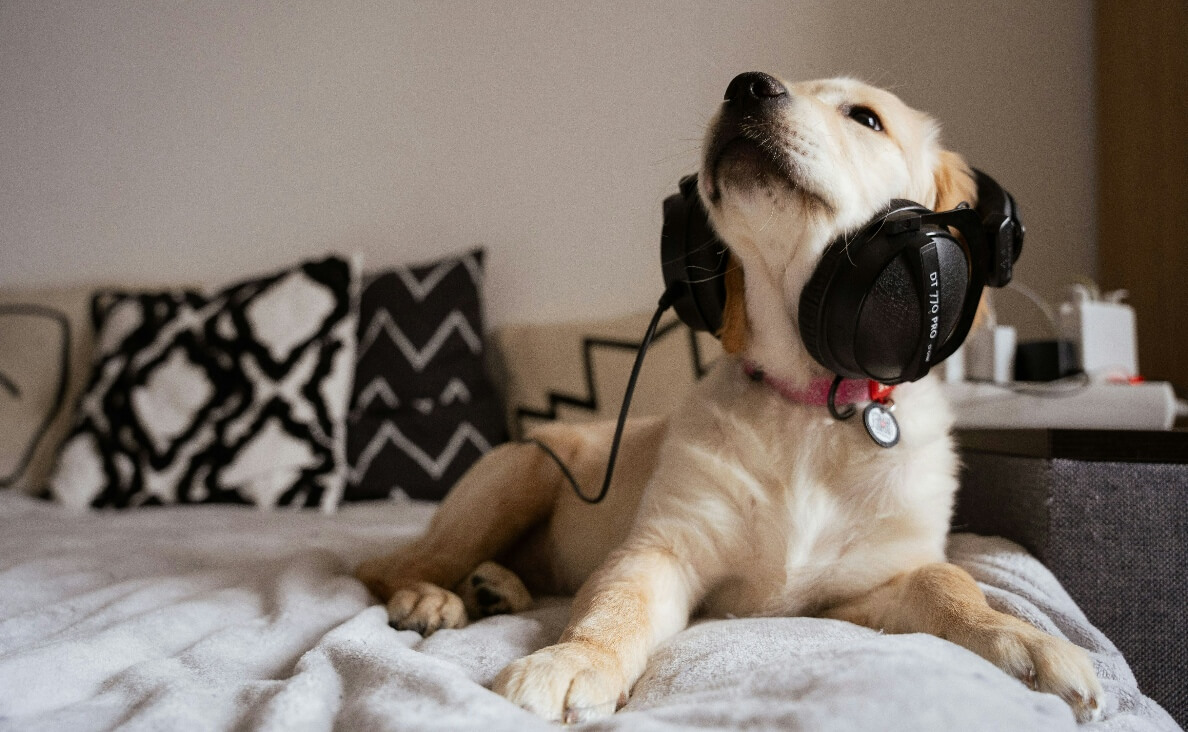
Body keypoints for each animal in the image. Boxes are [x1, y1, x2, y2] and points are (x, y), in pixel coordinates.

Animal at [354, 71, 1102, 722]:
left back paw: (497, 586)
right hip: (522, 470)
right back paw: (431, 597)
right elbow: (614, 607)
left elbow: (948, 585)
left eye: (866, 118)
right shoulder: (663, 548)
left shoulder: (868, 587)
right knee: (389, 565)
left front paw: (1023, 641)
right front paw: (573, 660)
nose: (747, 86)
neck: (813, 403)